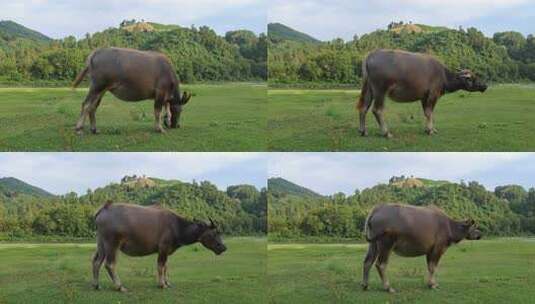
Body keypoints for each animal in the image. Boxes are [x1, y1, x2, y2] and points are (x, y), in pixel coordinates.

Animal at [92, 201, 226, 290]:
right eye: (214, 233)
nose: (223, 247)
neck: (177, 226)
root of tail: (105, 208)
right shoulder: (163, 249)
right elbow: (161, 266)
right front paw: (162, 284)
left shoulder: (166, 251)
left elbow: (166, 266)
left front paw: (167, 283)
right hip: (112, 244)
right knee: (110, 264)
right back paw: (119, 286)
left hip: (101, 244)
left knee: (96, 262)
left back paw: (96, 285)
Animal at [358, 49, 488, 137]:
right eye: (471, 78)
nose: (485, 85)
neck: (443, 75)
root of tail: (370, 55)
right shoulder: (433, 95)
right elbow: (429, 112)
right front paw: (430, 130)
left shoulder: (424, 97)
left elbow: (427, 113)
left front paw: (429, 129)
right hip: (380, 91)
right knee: (377, 110)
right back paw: (386, 133)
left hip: (369, 89)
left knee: (363, 108)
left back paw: (363, 131)